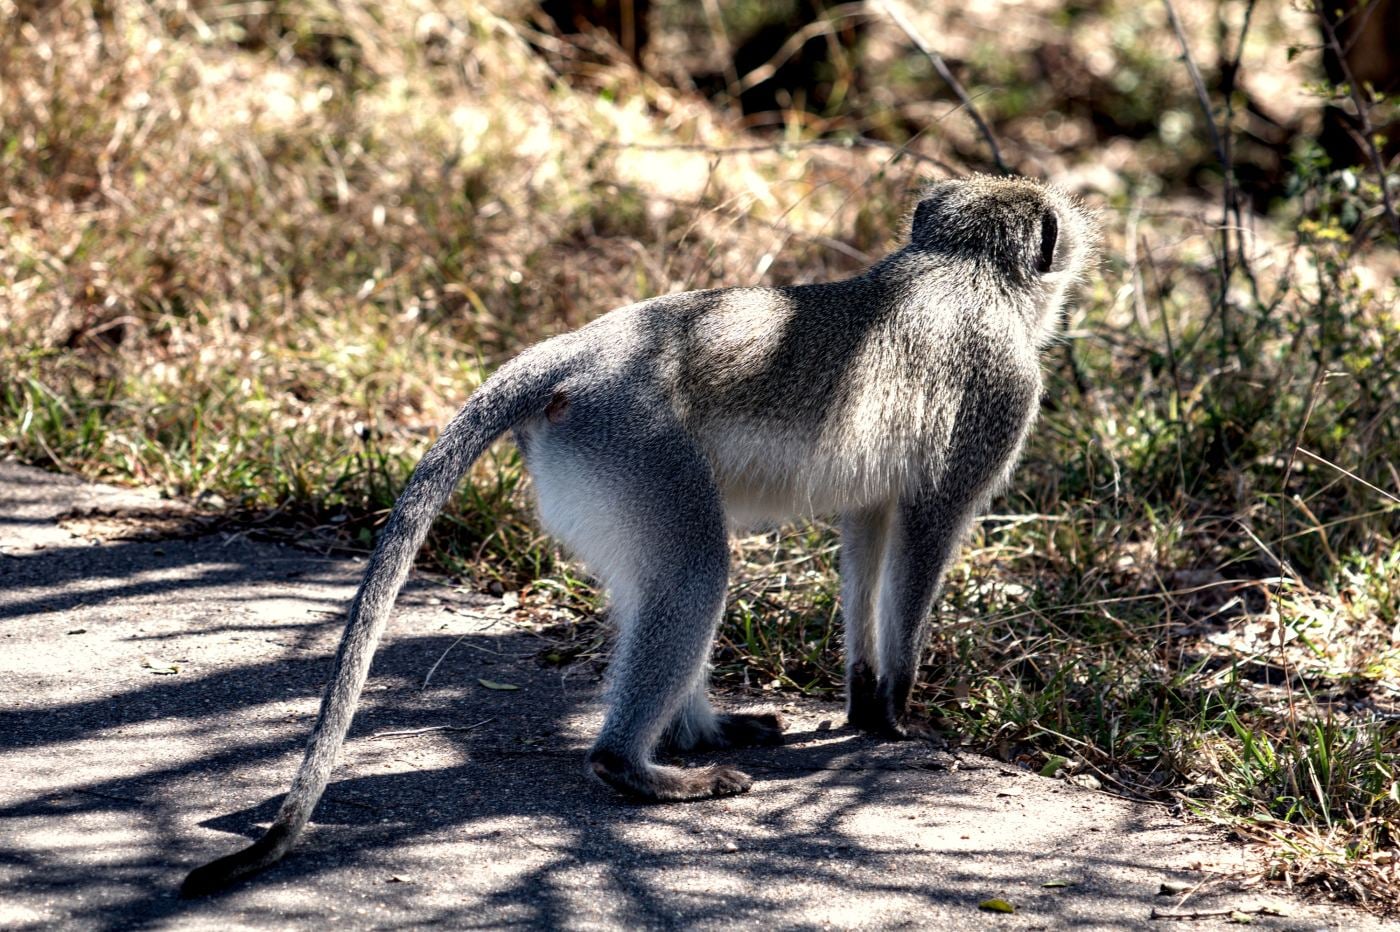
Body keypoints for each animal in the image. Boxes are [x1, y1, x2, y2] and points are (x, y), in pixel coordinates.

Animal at [181, 175, 1096, 896]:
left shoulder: (882, 484)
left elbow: (869, 531)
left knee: (659, 582)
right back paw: (637, 767)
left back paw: (696, 733)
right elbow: (928, 537)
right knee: (695, 571)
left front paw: (866, 698)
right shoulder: (999, 395)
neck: (965, 272)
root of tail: (580, 351)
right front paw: (900, 709)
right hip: (635, 445)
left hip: (598, 474)